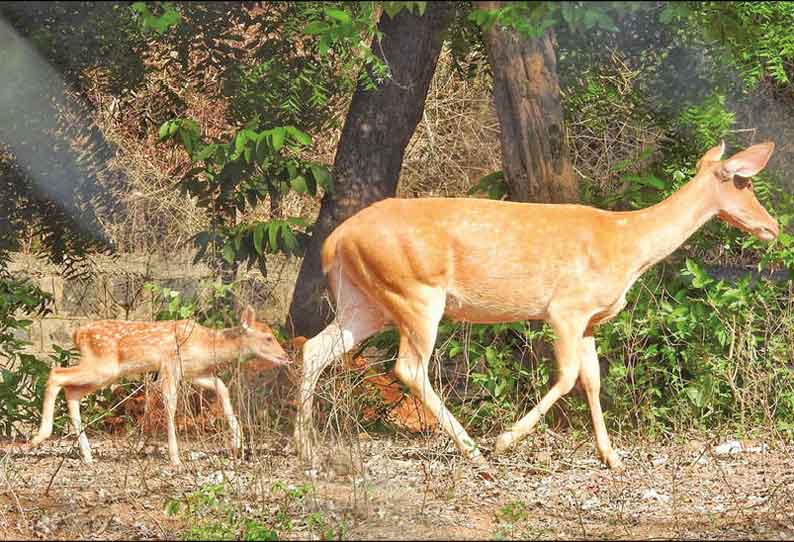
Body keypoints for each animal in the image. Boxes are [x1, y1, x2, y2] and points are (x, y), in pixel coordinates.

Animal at [32, 308, 290, 466]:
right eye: (268, 338)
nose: (286, 357)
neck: (206, 345)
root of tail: (77, 333)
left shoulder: (194, 372)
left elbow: (222, 387)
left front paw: (237, 441)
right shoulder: (170, 364)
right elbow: (171, 404)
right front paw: (175, 457)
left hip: (103, 373)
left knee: (71, 391)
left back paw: (86, 454)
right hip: (102, 366)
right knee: (56, 374)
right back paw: (40, 436)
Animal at [294, 142, 776, 470]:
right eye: (744, 181)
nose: (772, 227)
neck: (629, 247)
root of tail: (336, 240)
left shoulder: (590, 321)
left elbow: (593, 380)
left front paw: (611, 456)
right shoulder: (565, 307)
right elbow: (567, 376)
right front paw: (506, 440)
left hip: (364, 300)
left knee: (314, 349)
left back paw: (307, 449)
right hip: (415, 291)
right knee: (407, 367)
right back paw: (474, 449)